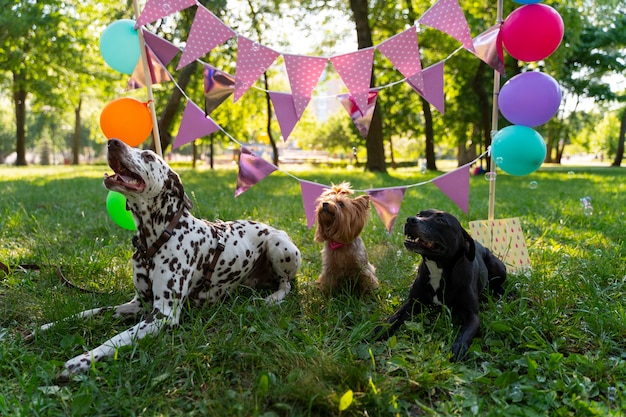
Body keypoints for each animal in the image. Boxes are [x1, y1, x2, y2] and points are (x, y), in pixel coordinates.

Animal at [31, 138, 300, 378]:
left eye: (148, 156)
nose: (112, 142)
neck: (158, 236)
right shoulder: (138, 304)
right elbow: (93, 311)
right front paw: (49, 326)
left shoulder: (162, 315)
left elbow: (114, 340)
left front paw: (82, 360)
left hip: (280, 247)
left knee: (286, 284)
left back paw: (273, 298)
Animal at [372, 210, 504, 360]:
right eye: (419, 214)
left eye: (440, 220)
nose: (410, 219)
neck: (437, 268)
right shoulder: (412, 303)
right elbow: (396, 316)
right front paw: (382, 328)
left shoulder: (472, 316)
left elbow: (465, 333)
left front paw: (458, 348)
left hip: (498, 267)